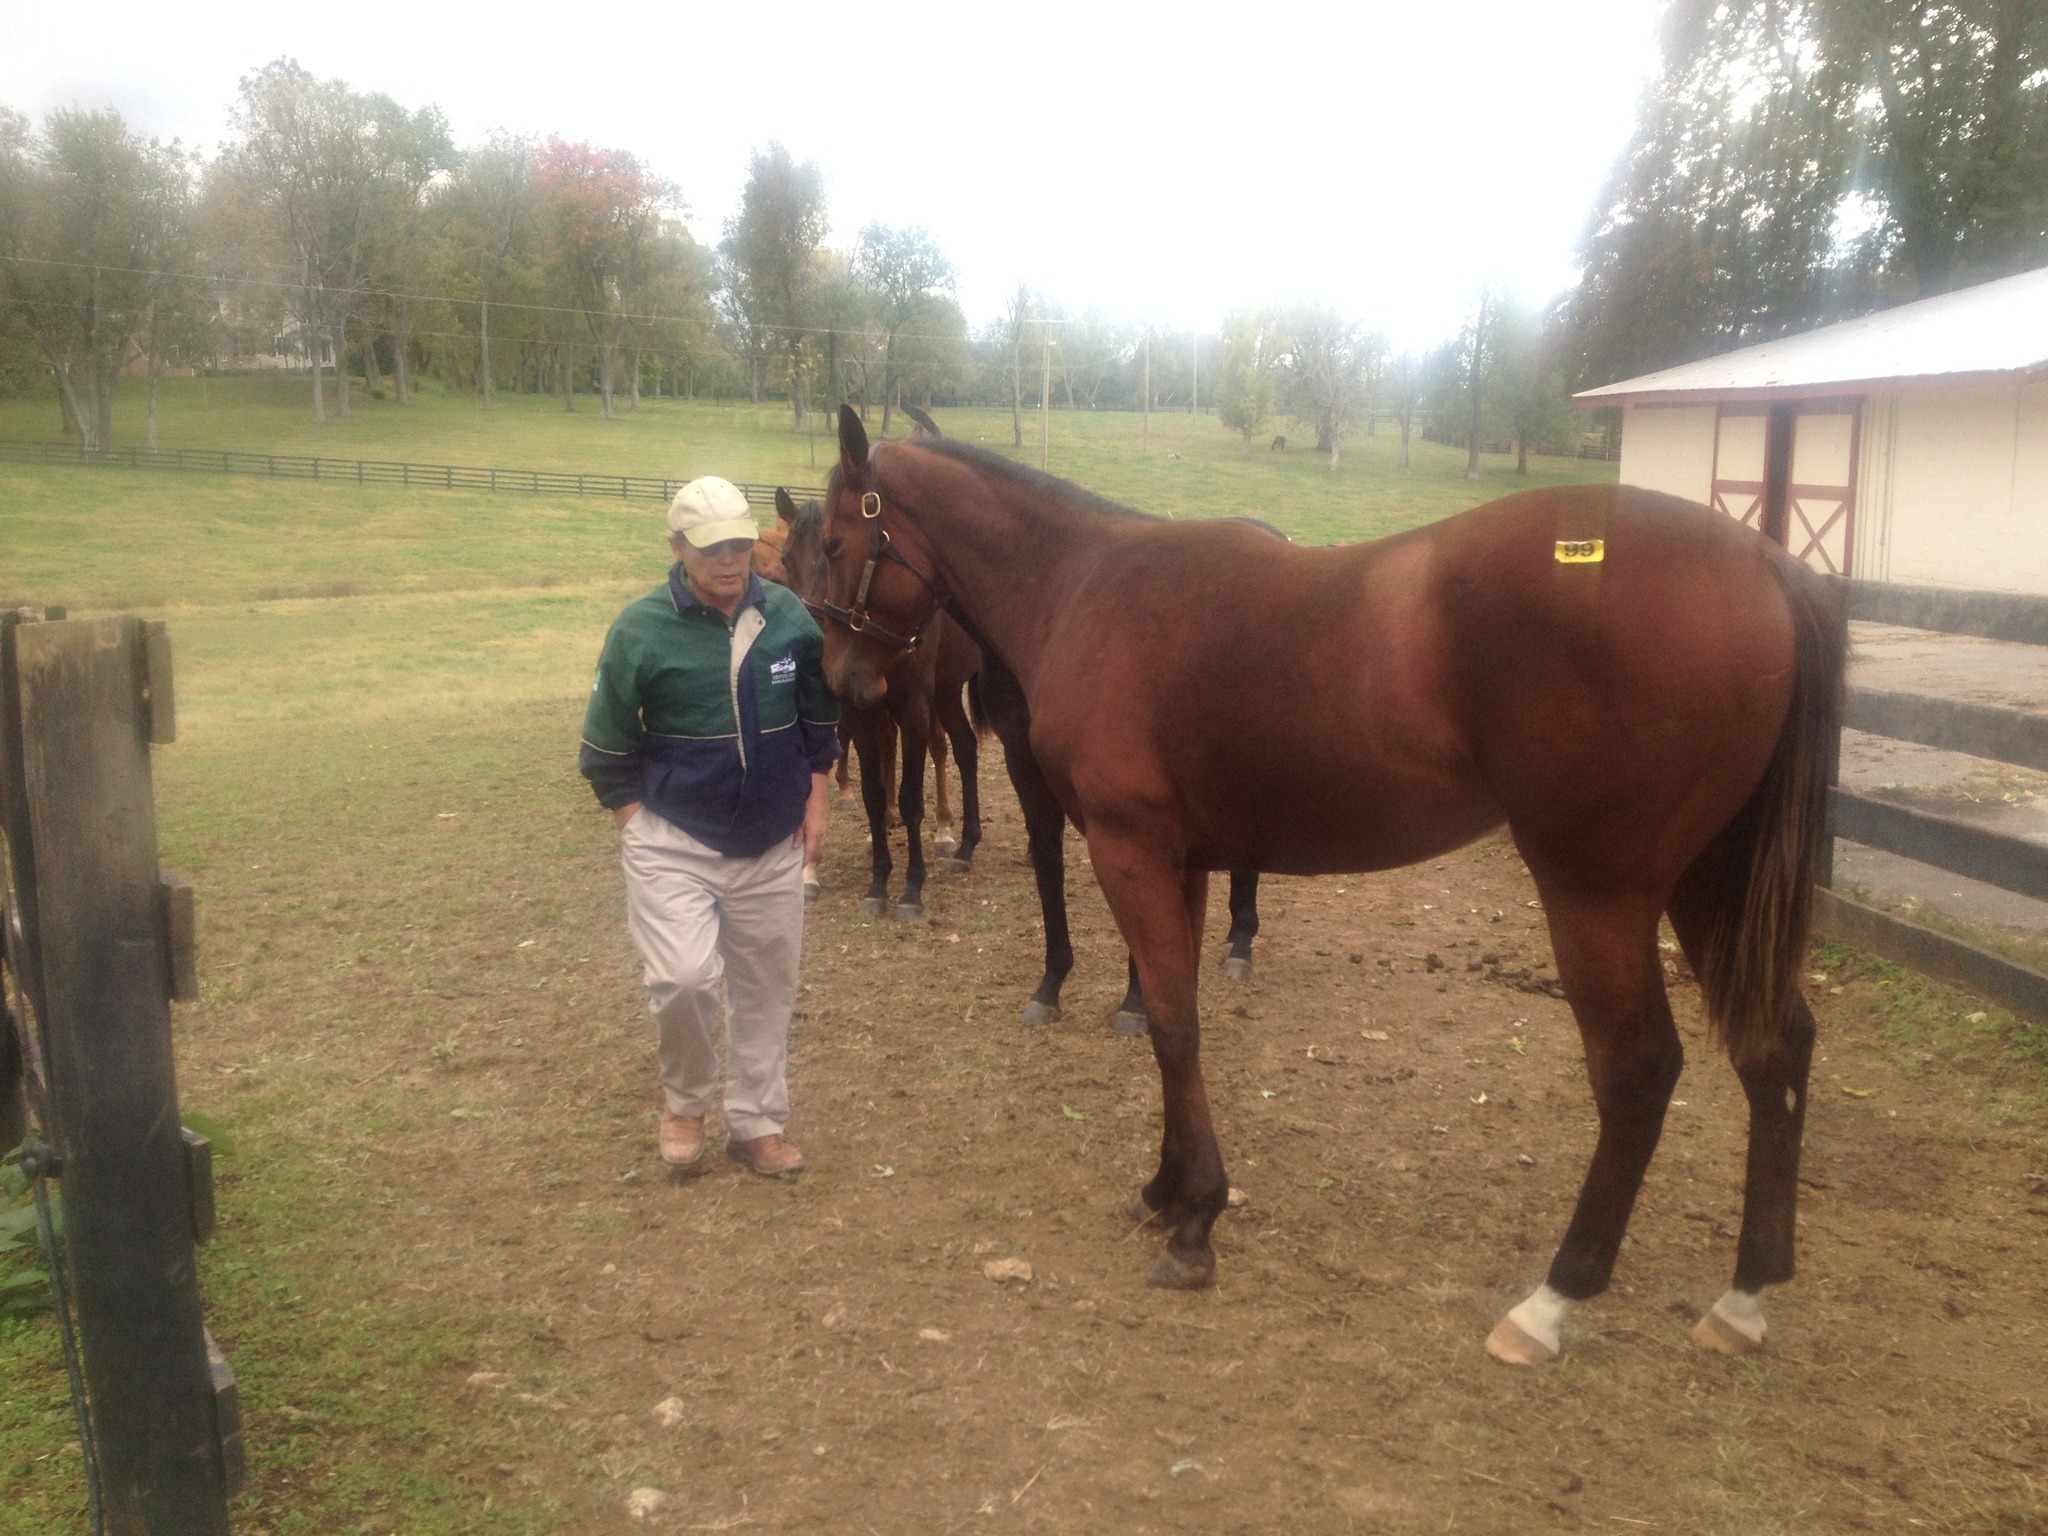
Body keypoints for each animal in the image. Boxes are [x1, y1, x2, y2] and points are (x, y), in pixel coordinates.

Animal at [819, 403, 1859, 1368]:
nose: (845, 684)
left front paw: (1196, 1223)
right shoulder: (1179, 861)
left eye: (830, 542)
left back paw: (1553, 1301)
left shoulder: (1130, 851)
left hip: (1598, 892)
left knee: (1640, 1071)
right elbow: (1170, 1023)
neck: (1085, 588)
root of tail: (1768, 567)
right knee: (1775, 1044)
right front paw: (1166, 1191)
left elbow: (1173, 1025)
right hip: (1704, 882)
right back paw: (1746, 1294)